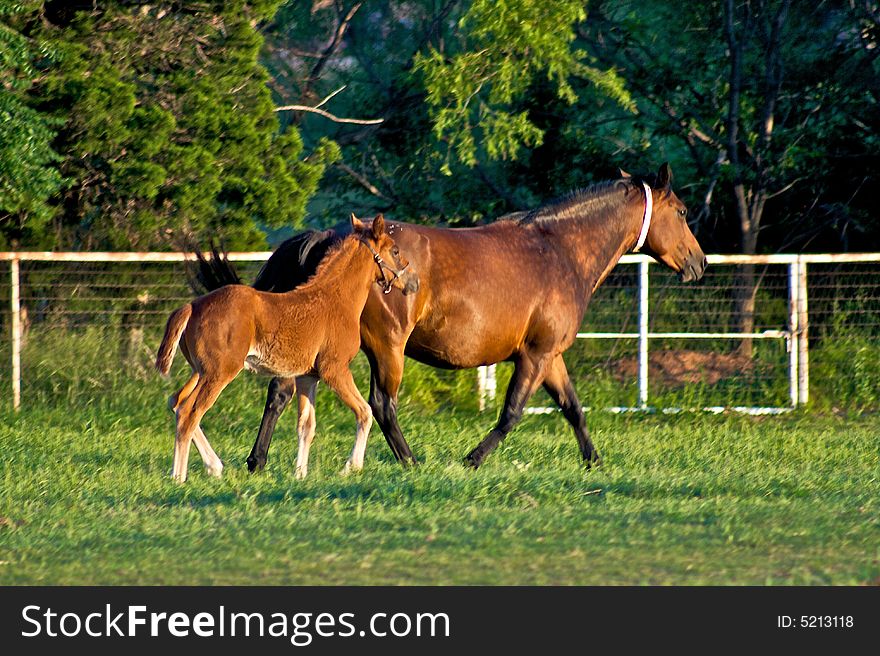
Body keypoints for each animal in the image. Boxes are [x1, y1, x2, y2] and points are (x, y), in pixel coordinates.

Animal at [156, 215, 418, 482]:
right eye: (395, 251)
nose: (414, 281)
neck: (335, 300)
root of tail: (192, 306)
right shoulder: (334, 369)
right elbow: (365, 412)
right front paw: (351, 467)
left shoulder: (308, 376)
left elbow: (306, 426)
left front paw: (300, 474)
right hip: (219, 373)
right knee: (189, 413)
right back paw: (179, 477)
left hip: (200, 371)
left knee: (176, 402)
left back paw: (213, 466)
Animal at [194, 164, 708, 472]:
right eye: (683, 211)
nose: (699, 263)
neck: (558, 250)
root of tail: (331, 235)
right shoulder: (535, 355)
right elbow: (511, 413)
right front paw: (471, 461)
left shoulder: (550, 356)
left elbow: (573, 409)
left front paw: (595, 463)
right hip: (386, 348)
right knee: (381, 405)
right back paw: (410, 463)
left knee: (280, 393)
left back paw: (256, 462)